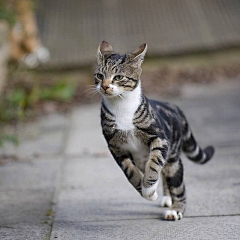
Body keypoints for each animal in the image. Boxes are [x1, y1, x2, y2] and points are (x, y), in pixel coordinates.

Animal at [94, 41, 215, 221]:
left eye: (118, 77)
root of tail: (176, 108)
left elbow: (154, 163)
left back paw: (175, 208)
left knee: (176, 182)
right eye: (99, 75)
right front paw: (147, 191)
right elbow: (130, 172)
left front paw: (150, 188)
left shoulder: (159, 138)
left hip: (173, 156)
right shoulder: (115, 147)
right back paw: (167, 198)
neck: (122, 106)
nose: (104, 86)